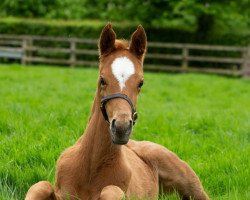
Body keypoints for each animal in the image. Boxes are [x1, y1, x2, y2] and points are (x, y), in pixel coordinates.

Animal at [25, 23, 209, 200]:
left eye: (141, 83)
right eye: (102, 80)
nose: (121, 127)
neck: (91, 168)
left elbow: (111, 191)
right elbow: (40, 185)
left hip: (187, 181)